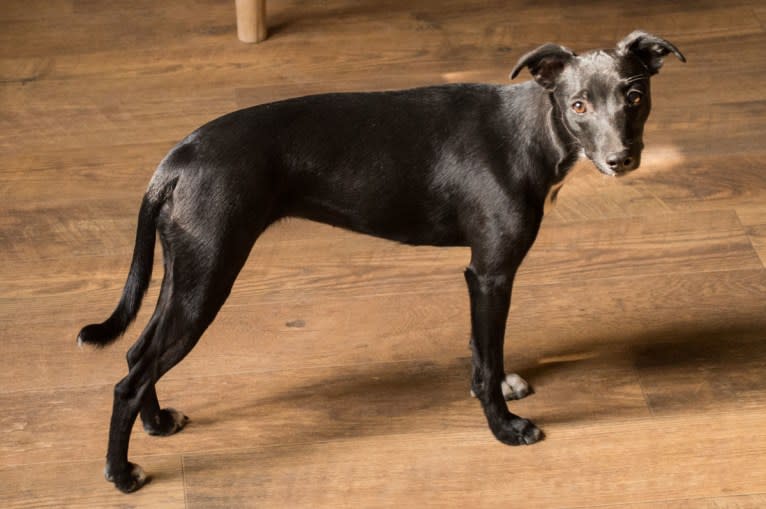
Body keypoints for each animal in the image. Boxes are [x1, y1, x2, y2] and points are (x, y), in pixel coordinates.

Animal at [79, 29, 684, 490]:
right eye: (578, 105)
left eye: (634, 97)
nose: (622, 159)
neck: (533, 130)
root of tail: (174, 161)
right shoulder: (490, 273)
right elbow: (488, 358)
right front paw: (504, 427)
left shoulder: (479, 276)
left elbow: (481, 350)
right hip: (208, 278)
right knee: (130, 379)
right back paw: (121, 474)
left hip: (187, 271)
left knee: (136, 354)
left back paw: (158, 422)